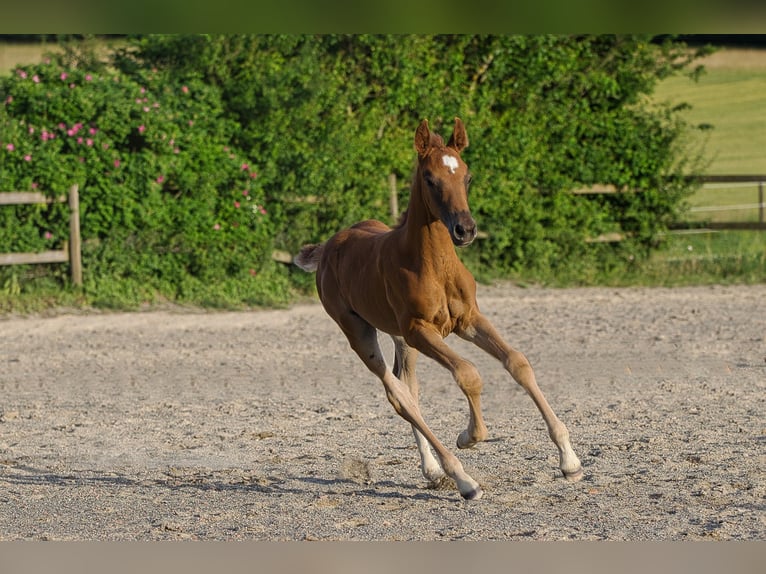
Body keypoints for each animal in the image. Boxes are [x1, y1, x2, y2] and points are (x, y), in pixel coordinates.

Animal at [294, 117, 584, 500]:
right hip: (360, 333)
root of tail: (327, 247)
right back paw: (463, 479)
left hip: (400, 339)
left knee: (409, 390)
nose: (465, 230)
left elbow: (517, 362)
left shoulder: (469, 319)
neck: (432, 264)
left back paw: (433, 471)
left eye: (467, 176)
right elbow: (468, 373)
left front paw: (569, 460)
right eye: (430, 179)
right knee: (398, 395)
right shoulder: (421, 330)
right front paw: (468, 436)